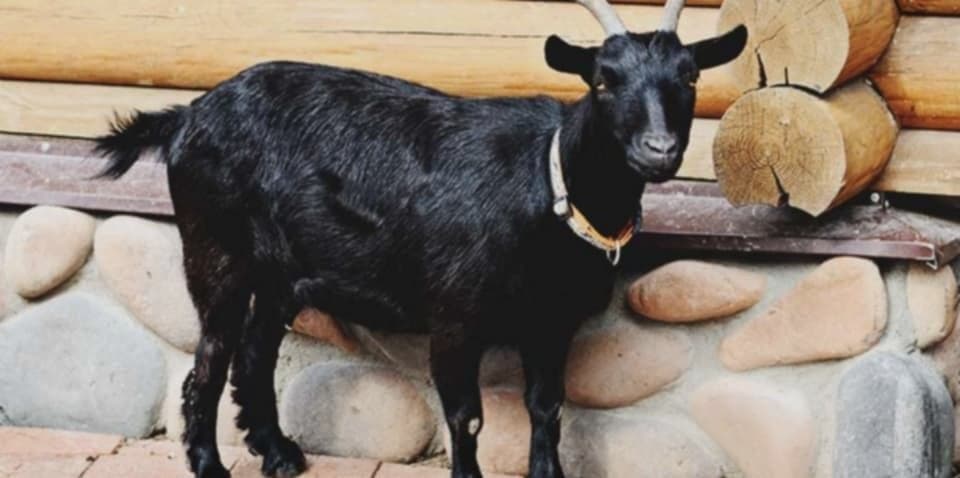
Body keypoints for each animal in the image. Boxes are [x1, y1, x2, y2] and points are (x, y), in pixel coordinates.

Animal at [95, 1, 747, 477]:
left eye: (689, 75)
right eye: (604, 81)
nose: (659, 150)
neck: (549, 182)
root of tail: (186, 116)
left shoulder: (549, 322)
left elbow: (548, 407)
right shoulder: (455, 317)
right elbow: (467, 418)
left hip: (283, 274)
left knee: (254, 356)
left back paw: (279, 455)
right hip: (216, 251)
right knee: (208, 362)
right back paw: (210, 465)